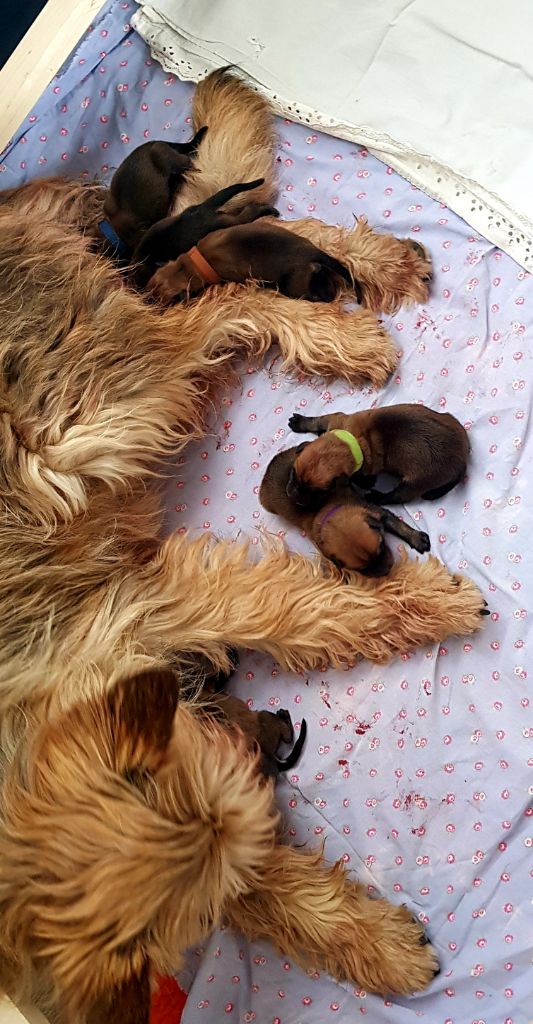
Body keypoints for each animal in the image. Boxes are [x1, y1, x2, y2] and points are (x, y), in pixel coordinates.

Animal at [257, 446, 427, 581]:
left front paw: (417, 539)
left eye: (381, 545)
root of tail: (267, 471)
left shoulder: (375, 511)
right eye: (361, 569)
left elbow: (399, 525)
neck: (327, 510)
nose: (387, 571)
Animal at [288, 405, 468, 505]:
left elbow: (358, 479)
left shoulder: (365, 474)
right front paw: (301, 423)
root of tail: (463, 460)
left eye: (318, 492)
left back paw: (376, 497)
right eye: (293, 474)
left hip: (415, 483)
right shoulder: (336, 420)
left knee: (397, 497)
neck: (351, 441)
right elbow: (318, 420)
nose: (291, 495)